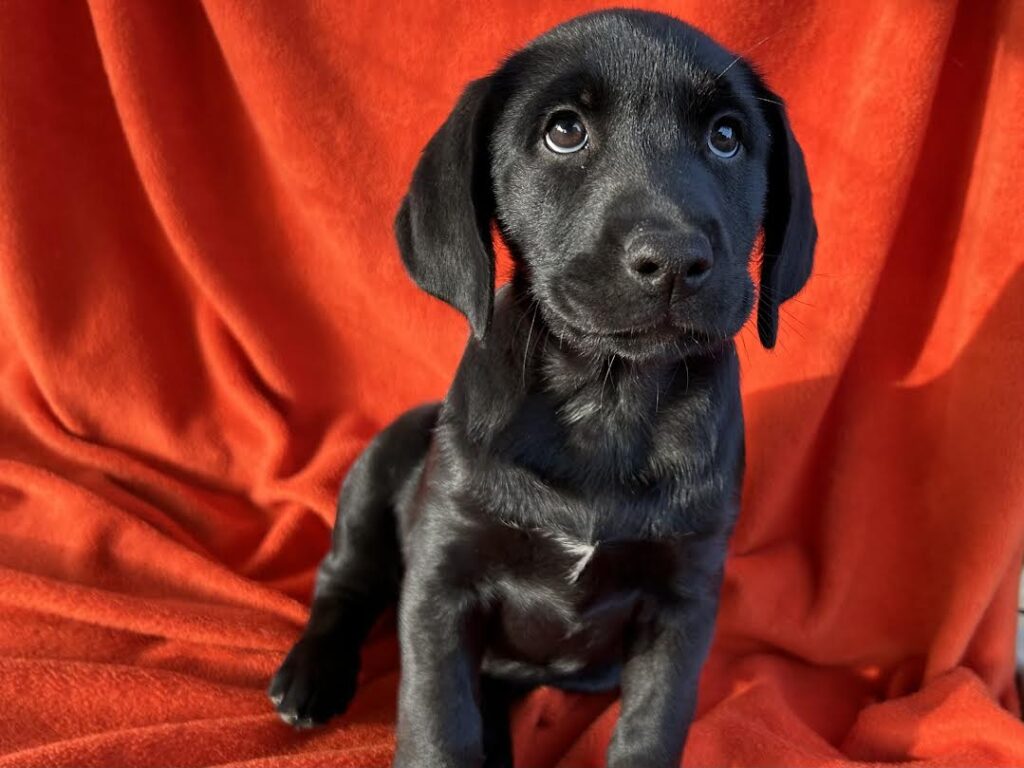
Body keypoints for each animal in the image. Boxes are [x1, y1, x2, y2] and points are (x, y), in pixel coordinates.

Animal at [268, 9, 815, 767]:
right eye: (564, 131)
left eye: (727, 137)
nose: (675, 259)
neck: (606, 401)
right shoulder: (441, 580)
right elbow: (439, 720)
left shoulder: (684, 599)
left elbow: (652, 725)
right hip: (385, 460)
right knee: (342, 583)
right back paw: (311, 673)